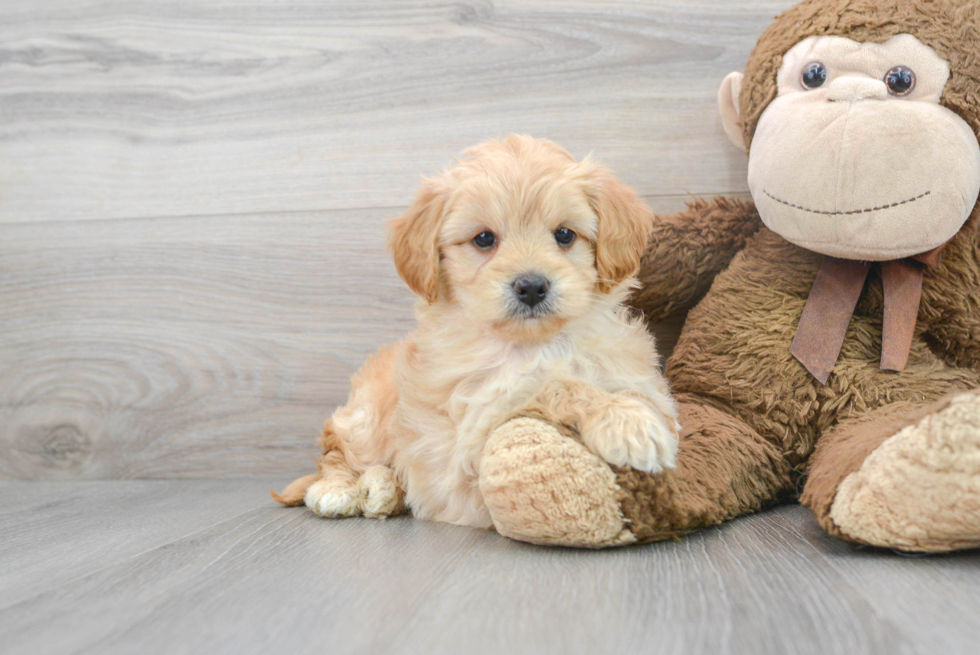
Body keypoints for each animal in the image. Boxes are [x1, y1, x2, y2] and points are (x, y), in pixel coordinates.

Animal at [272, 136, 676, 532]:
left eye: (564, 234)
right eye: (483, 239)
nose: (531, 286)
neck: (536, 345)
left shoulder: (644, 384)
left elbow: (635, 396)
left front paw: (632, 416)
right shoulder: (472, 432)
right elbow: (554, 385)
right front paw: (628, 424)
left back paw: (383, 489)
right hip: (366, 418)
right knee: (335, 450)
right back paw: (341, 489)